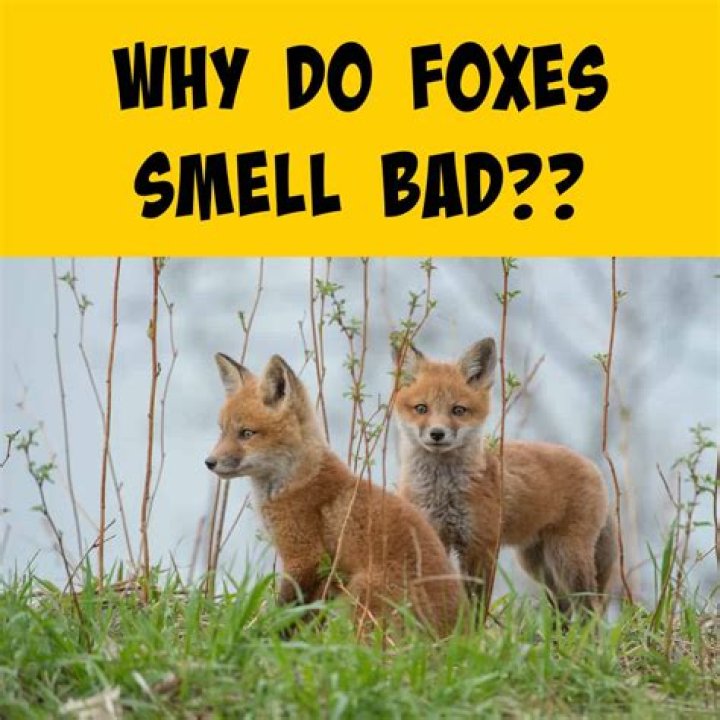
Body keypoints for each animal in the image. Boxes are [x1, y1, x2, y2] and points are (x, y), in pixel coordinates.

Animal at [205, 352, 462, 636]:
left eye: (247, 433)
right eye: (222, 430)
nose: (209, 462)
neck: (294, 481)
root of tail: (457, 633)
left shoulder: (305, 556)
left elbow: (286, 609)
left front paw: (266, 635)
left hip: (362, 589)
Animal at [394, 337, 617, 615]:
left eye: (458, 410)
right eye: (421, 408)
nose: (437, 434)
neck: (442, 491)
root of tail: (592, 465)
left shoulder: (482, 545)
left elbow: (477, 607)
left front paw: (471, 628)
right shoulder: (432, 535)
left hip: (567, 557)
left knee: (590, 610)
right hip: (536, 564)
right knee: (562, 610)